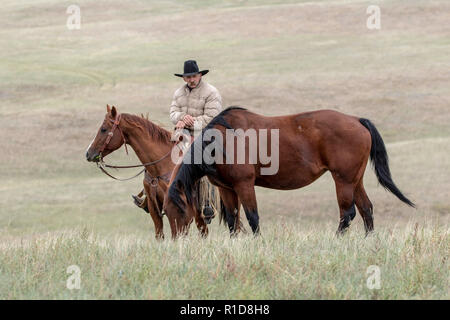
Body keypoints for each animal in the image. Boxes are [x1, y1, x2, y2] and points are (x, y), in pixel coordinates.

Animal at [85, 106, 210, 239]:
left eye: (103, 129)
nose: (88, 153)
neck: (161, 167)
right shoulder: (153, 206)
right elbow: (160, 235)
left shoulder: (181, 210)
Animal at [162, 106, 414, 236]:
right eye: (165, 211)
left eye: (180, 210)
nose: (177, 241)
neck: (222, 141)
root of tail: (357, 120)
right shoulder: (227, 189)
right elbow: (234, 219)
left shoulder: (245, 185)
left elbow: (252, 217)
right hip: (355, 180)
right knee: (366, 209)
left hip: (342, 180)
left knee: (348, 213)